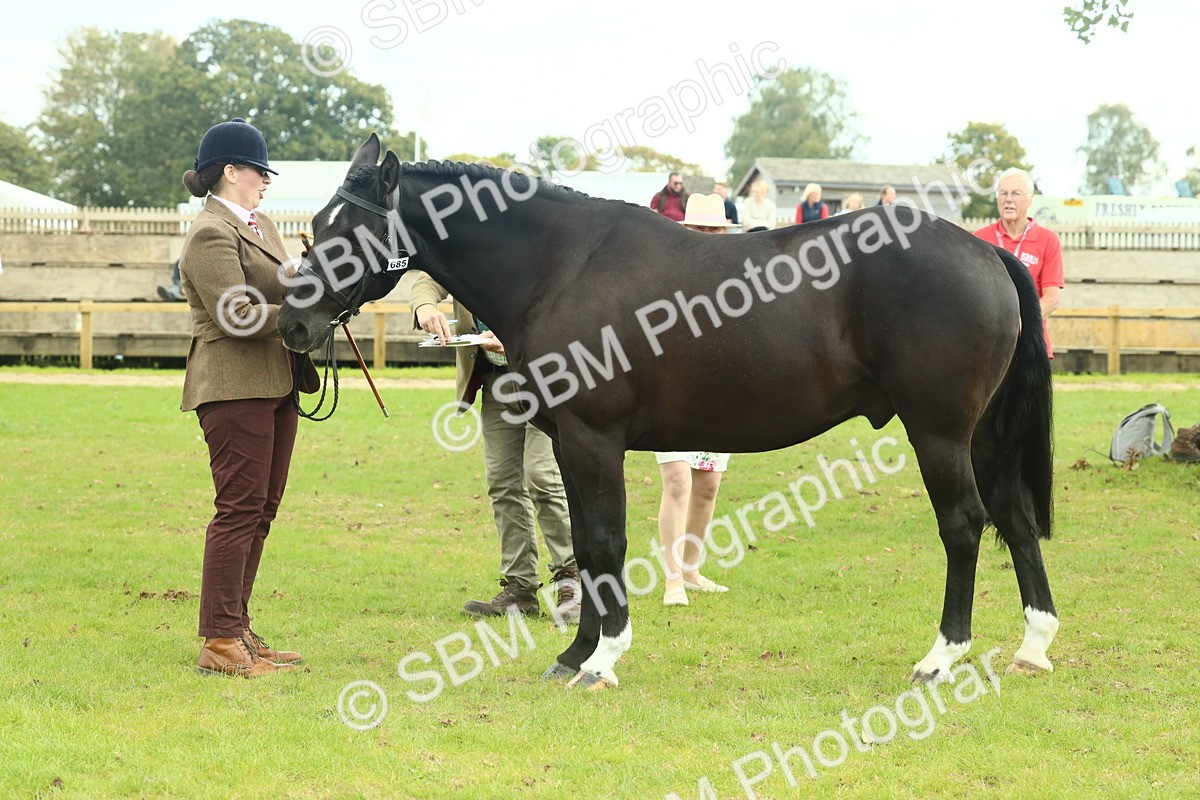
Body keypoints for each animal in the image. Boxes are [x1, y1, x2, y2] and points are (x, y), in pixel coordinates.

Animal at [278, 134, 1059, 690]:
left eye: (348, 231)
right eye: (315, 224)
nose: (292, 324)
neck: (560, 267)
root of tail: (984, 252)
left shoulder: (594, 440)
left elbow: (604, 543)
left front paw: (601, 660)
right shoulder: (571, 444)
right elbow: (585, 543)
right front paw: (575, 654)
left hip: (939, 434)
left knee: (964, 526)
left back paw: (940, 658)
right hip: (983, 437)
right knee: (1015, 519)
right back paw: (1033, 645)